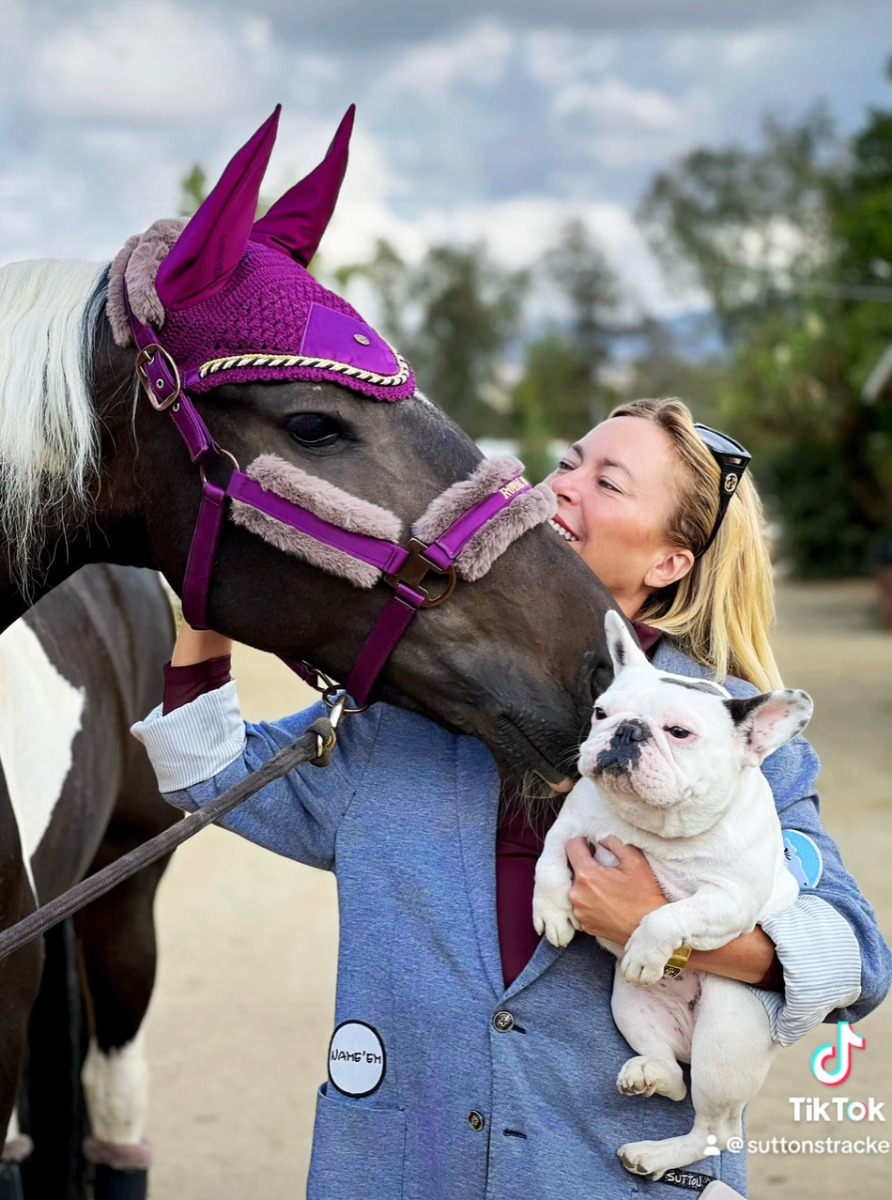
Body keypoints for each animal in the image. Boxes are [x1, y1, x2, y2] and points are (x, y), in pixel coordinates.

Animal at [533, 614, 811, 1176]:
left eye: (679, 733)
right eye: (601, 712)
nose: (627, 731)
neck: (655, 827)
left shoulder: (729, 901)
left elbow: (671, 914)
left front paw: (644, 947)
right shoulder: (567, 828)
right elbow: (548, 865)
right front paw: (552, 912)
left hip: (725, 1036)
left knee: (715, 1130)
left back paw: (653, 1153)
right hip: (630, 1005)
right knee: (674, 1076)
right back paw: (650, 1074)